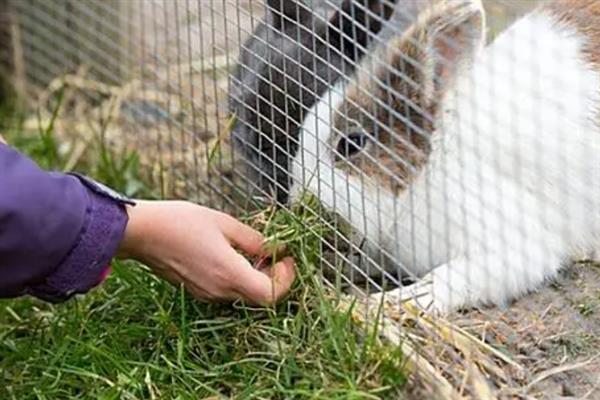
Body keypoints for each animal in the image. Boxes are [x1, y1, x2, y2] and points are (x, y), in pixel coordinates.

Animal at [290, 0, 600, 314]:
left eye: (351, 143)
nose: (300, 202)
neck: (428, 171)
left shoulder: (510, 246)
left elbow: (454, 275)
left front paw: (408, 299)